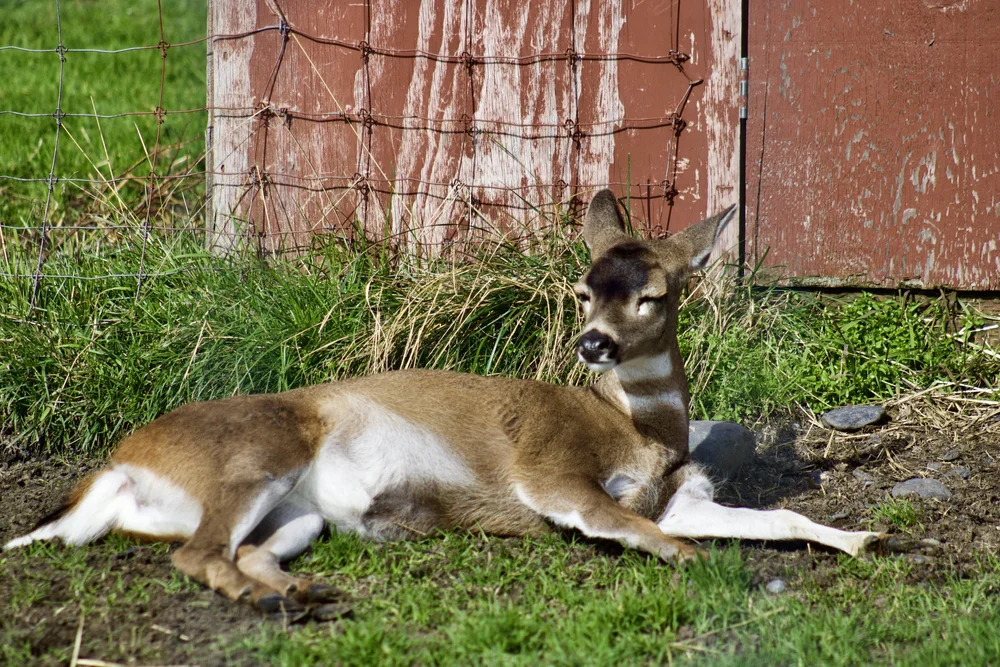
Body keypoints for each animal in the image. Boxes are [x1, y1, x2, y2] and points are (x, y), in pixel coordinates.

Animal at [5, 190, 888, 619]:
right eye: (581, 288)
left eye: (653, 294)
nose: (592, 344)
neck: (639, 430)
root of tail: (115, 469)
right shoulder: (549, 467)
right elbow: (639, 528)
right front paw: (714, 570)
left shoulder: (677, 496)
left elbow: (777, 516)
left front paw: (867, 537)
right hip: (256, 452)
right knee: (195, 553)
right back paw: (282, 600)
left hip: (298, 514)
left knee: (238, 552)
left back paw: (295, 596)